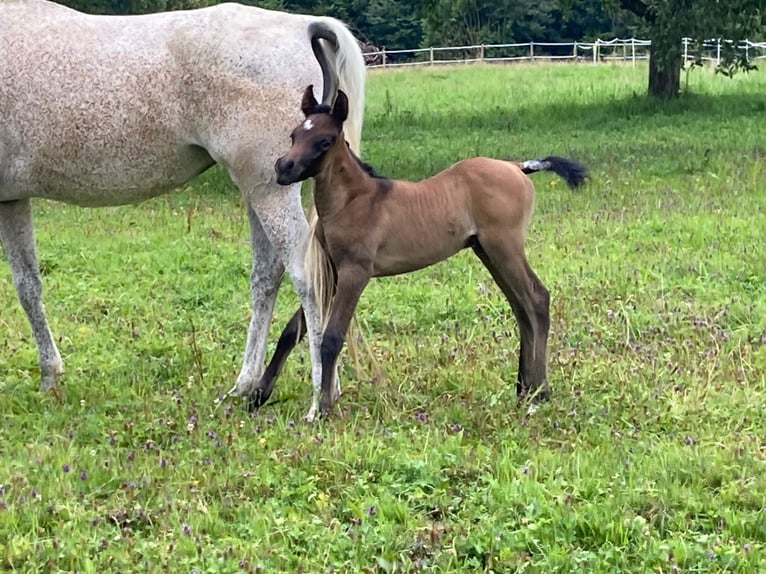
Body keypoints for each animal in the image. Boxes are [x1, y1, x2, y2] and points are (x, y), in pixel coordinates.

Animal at [0, 0, 366, 424]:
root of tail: (302, 26)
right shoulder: (12, 200)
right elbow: (28, 286)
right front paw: (50, 376)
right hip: (258, 189)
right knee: (266, 277)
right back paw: (245, 387)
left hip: (270, 192)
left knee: (306, 276)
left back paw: (319, 399)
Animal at [255, 85, 592, 416]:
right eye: (294, 135)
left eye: (325, 141)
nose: (283, 168)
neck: (354, 200)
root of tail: (517, 166)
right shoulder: (335, 273)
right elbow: (292, 330)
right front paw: (258, 394)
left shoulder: (355, 272)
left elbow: (331, 337)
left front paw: (324, 408)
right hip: (487, 250)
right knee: (521, 306)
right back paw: (523, 388)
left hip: (504, 246)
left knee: (537, 298)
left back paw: (540, 392)